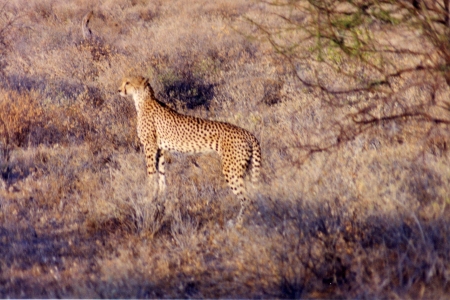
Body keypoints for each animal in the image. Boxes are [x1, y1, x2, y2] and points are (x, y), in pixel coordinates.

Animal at [118, 76, 262, 224]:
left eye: (128, 83)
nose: (119, 90)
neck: (143, 99)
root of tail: (248, 133)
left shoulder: (150, 147)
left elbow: (151, 174)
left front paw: (148, 199)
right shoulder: (160, 150)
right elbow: (161, 175)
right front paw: (160, 198)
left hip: (231, 169)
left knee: (246, 198)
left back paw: (238, 222)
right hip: (245, 168)